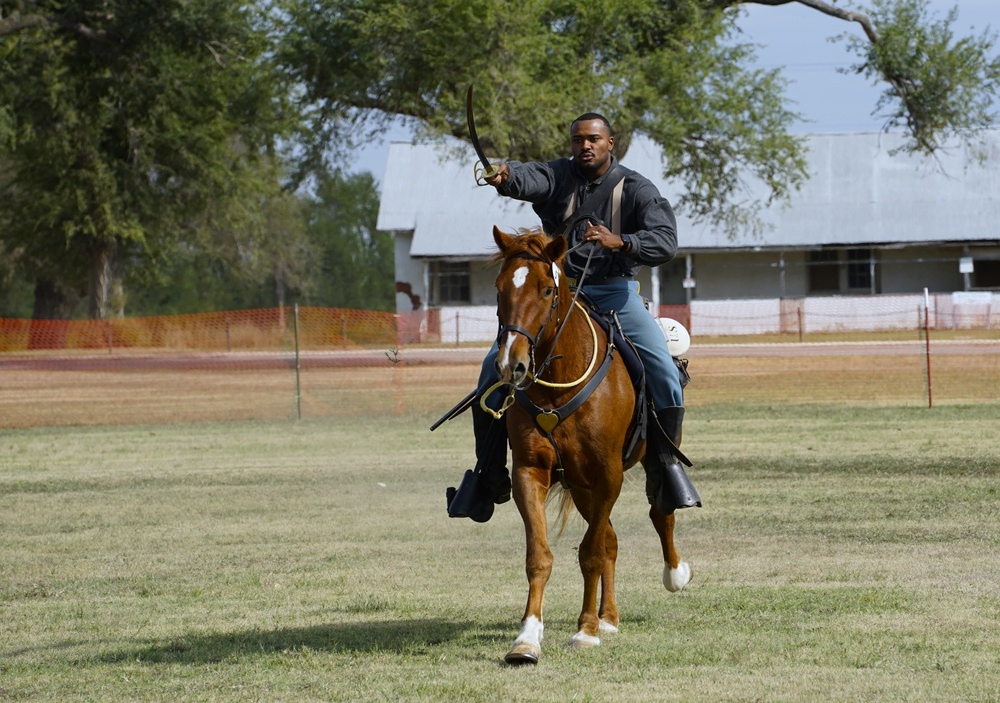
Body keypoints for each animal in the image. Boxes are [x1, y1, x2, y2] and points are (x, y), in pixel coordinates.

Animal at [488, 226, 692, 664]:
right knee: (612, 539)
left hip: (641, 465)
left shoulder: (607, 475)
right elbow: (541, 556)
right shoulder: (531, 473)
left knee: (660, 512)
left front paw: (584, 630)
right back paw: (608, 616)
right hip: (580, 487)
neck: (560, 385)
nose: (511, 364)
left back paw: (673, 574)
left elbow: (591, 553)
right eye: (499, 289)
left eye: (547, 289)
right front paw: (527, 638)